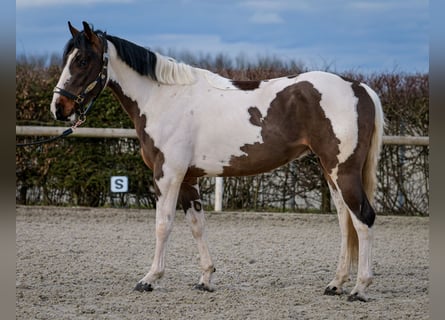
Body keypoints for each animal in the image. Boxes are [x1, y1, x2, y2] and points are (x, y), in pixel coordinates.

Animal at [50, 21, 384, 302]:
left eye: (82, 61)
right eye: (67, 58)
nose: (58, 107)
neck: (164, 99)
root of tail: (359, 88)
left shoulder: (167, 175)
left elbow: (163, 224)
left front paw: (150, 278)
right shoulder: (188, 178)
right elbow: (197, 226)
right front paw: (205, 279)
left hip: (343, 171)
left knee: (363, 219)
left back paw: (360, 288)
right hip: (331, 172)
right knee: (345, 223)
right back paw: (336, 284)